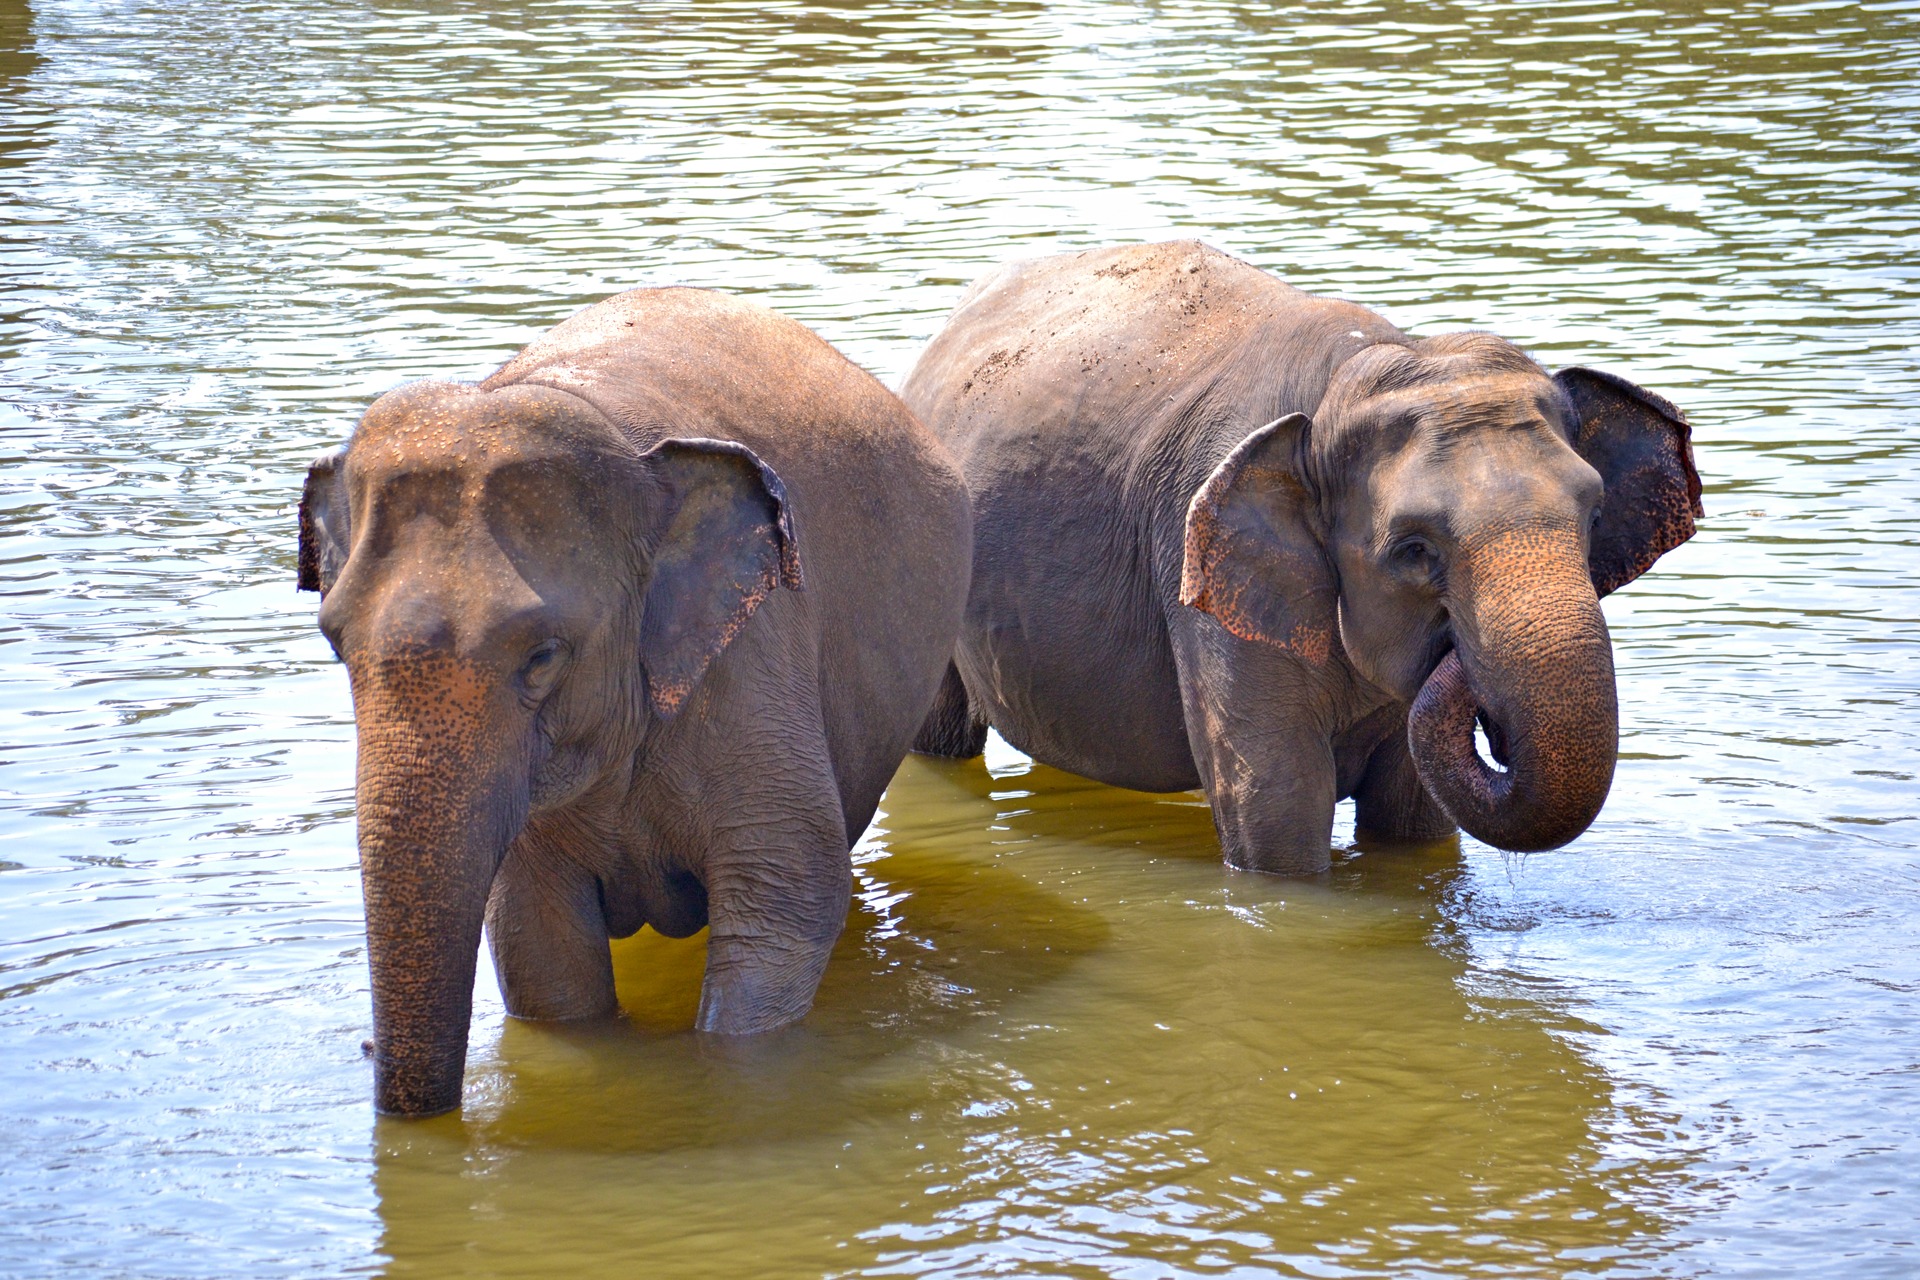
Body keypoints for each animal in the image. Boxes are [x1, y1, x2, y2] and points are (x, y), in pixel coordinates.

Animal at [299, 287, 971, 1116]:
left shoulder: (754, 657)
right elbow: (535, 934)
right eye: (334, 642)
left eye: (543, 657)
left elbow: (789, 889)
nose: (363, 1053)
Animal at [906, 241, 1700, 873]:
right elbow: (1277, 807)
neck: (1353, 373)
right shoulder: (1202, 572)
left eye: (1593, 516)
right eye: (1413, 549)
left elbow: (1413, 817)